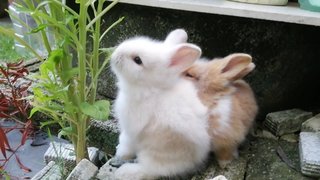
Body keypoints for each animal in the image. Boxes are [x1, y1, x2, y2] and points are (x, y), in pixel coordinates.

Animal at [111, 28, 211, 179]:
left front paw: (120, 153)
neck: (150, 88)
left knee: (151, 170)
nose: (115, 55)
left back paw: (125, 172)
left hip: (155, 154)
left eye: (137, 60)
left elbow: (127, 143)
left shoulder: (132, 128)